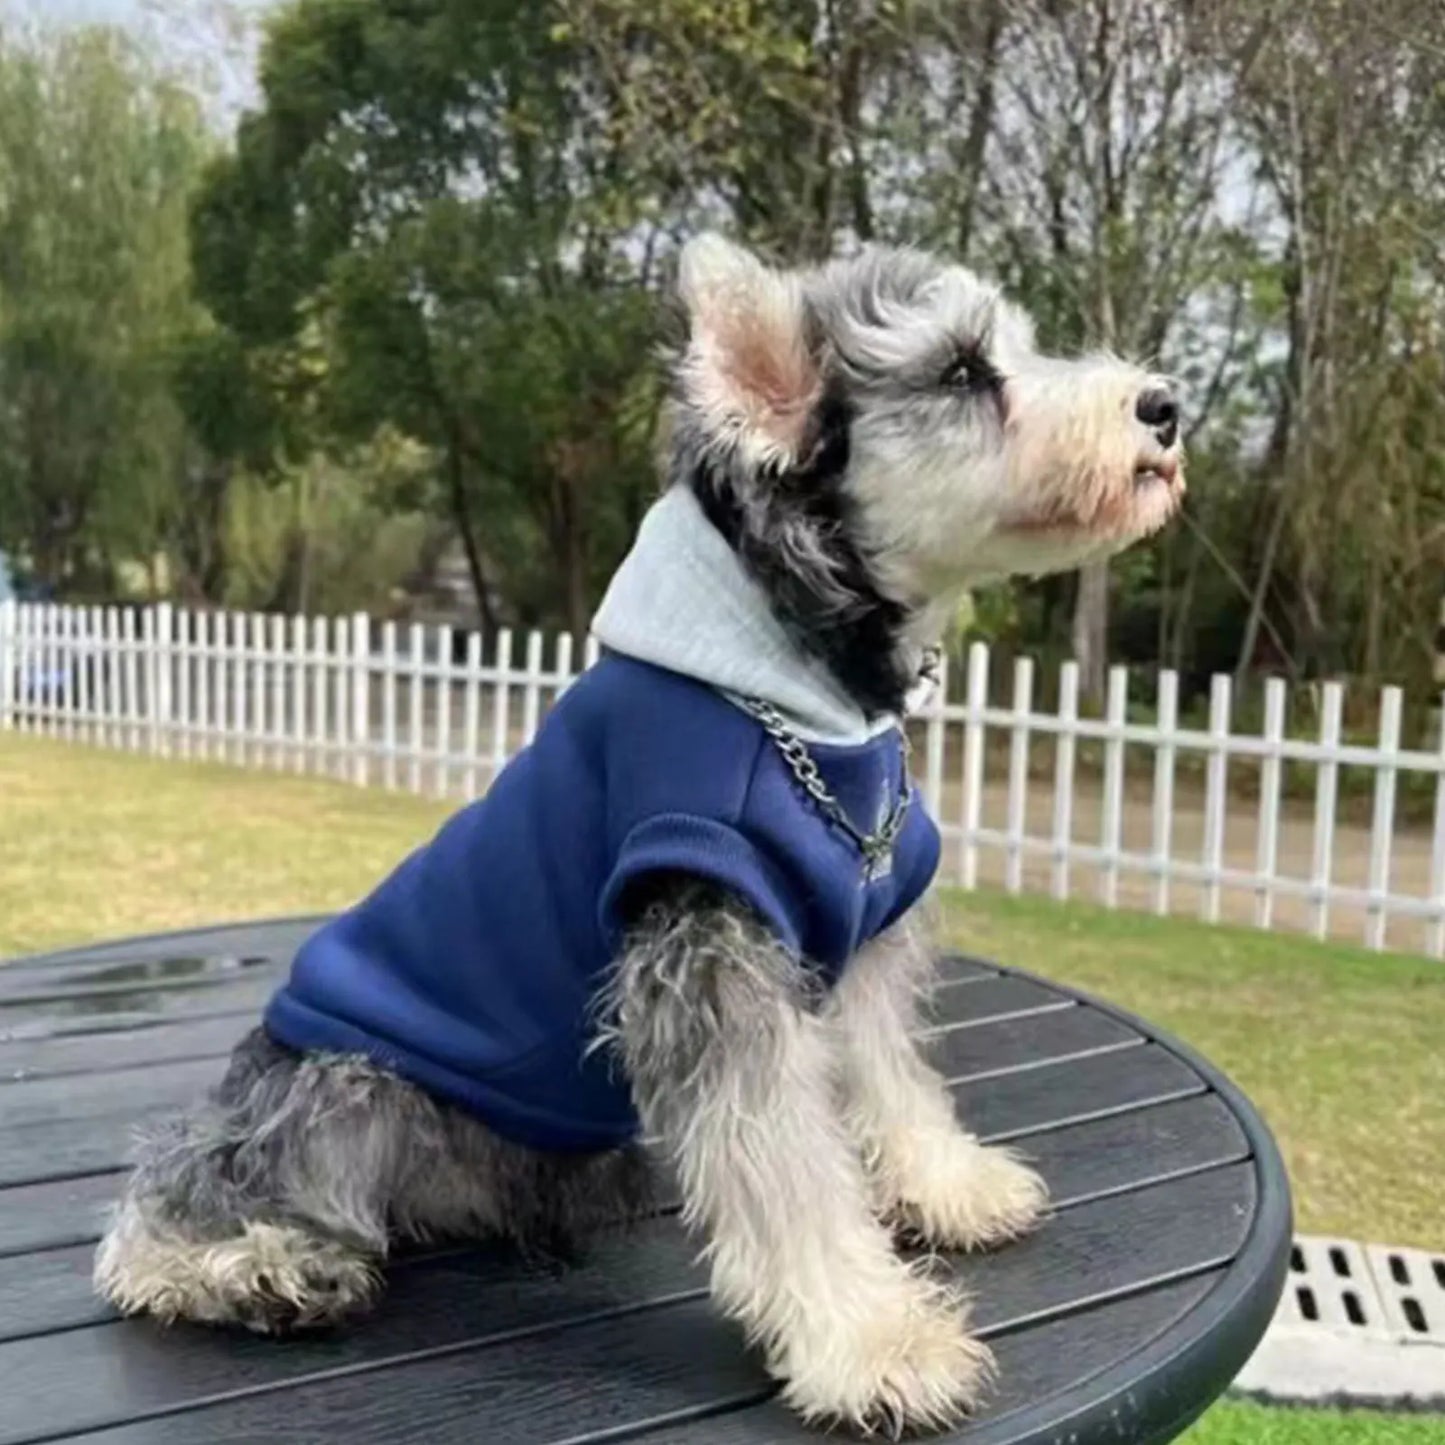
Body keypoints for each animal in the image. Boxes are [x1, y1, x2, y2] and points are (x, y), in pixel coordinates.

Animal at [98, 236, 1184, 1433]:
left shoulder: (850, 949)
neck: (806, 695)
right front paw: (874, 1342)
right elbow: (792, 1177)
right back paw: (259, 1265)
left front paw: (946, 1186)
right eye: (957, 371)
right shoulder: (710, 967)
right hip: (351, 1086)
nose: (1164, 406)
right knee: (170, 1191)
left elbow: (891, 1081)